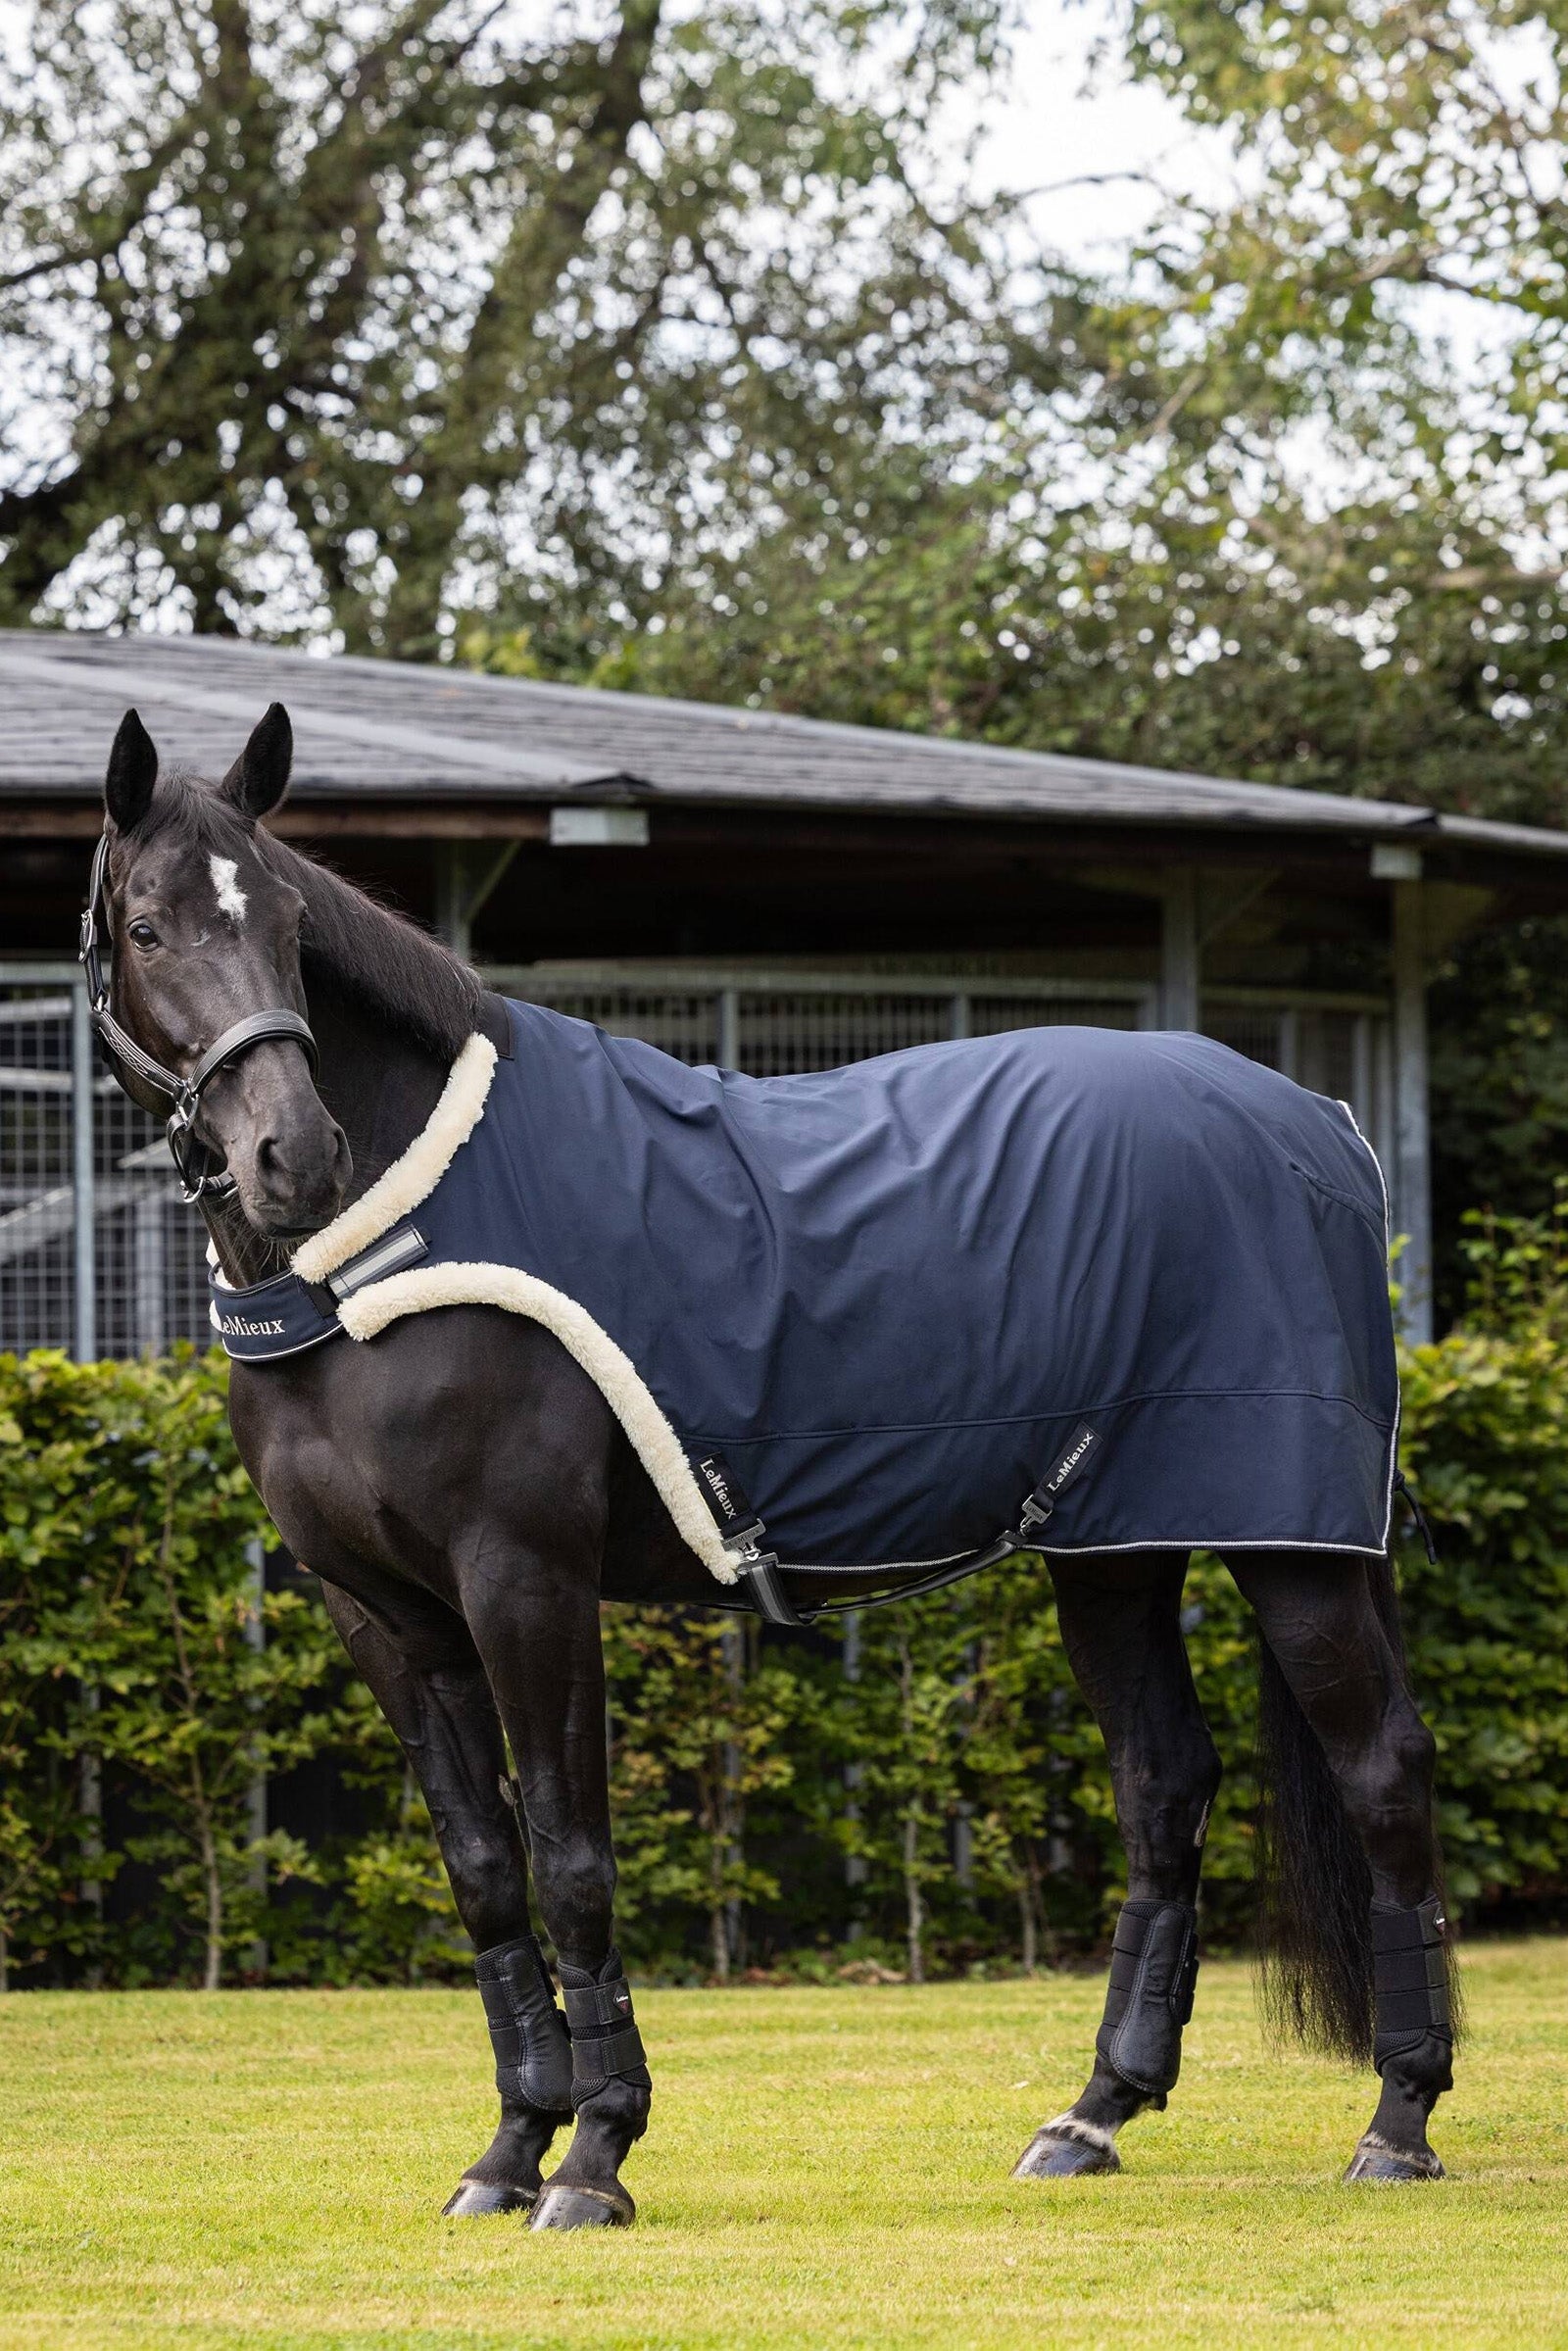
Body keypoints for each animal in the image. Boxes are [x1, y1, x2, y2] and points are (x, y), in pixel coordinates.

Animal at [79, 700, 1460, 2228]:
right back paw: (1094, 2112)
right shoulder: (380, 1611)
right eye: (148, 926)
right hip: (1113, 1546)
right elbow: (487, 1870)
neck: (385, 1250)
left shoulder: (524, 1578)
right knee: (1163, 1783)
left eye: (285, 921)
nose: (294, 1151)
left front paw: (595, 2155)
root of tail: (1316, 1123)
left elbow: (572, 1857)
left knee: (1382, 1770)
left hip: (1289, 1543)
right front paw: (506, 2151)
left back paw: (1397, 2119)